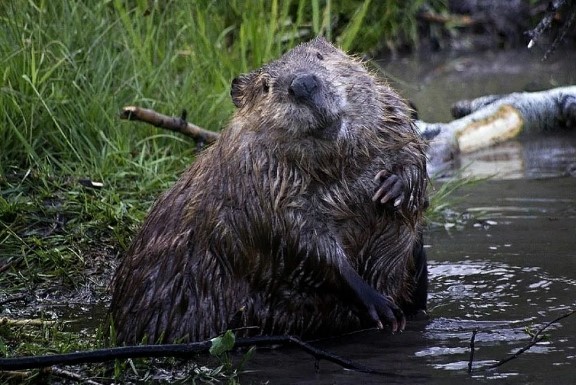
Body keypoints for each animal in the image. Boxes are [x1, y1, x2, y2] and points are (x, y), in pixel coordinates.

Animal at [111, 36, 428, 342]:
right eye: (265, 86)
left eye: (320, 56)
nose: (303, 84)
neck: (336, 167)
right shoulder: (257, 189)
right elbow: (300, 245)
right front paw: (382, 306)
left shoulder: (390, 116)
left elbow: (411, 150)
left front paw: (392, 187)